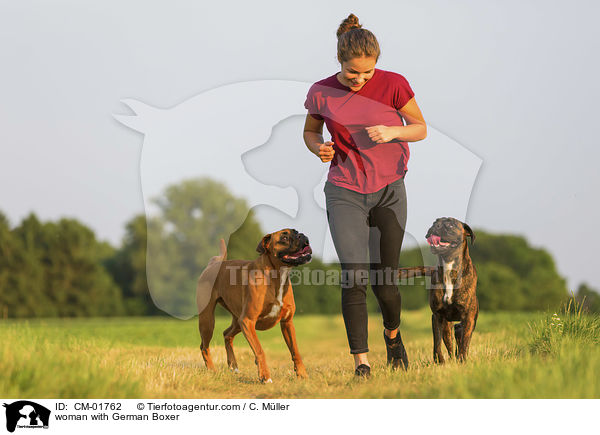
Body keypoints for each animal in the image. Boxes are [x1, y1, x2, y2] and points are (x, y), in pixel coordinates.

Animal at [196, 230, 312, 384]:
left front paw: (302, 374)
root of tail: (214, 263)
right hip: (208, 320)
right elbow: (259, 350)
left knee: (227, 334)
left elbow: (295, 351)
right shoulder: (248, 321)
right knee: (204, 347)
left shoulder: (287, 323)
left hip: (237, 321)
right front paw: (265, 377)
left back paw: (233, 366)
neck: (276, 276)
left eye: (297, 231)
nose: (302, 235)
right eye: (284, 237)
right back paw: (212, 370)